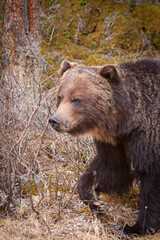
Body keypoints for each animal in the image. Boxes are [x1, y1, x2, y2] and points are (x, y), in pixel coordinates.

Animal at [49, 58, 160, 236]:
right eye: (60, 97)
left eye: (76, 99)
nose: (55, 120)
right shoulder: (115, 143)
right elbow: (111, 169)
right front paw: (95, 200)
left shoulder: (148, 135)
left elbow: (152, 181)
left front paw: (134, 227)